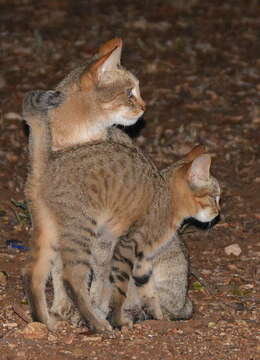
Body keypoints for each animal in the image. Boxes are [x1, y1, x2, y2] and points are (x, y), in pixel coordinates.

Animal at [23, 90, 220, 332]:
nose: (218, 212)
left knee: (33, 274)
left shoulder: (143, 260)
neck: (167, 196)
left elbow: (148, 293)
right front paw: (117, 318)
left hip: (49, 231)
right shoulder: (127, 246)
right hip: (81, 231)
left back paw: (44, 321)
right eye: (215, 196)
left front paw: (156, 316)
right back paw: (96, 322)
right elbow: (119, 290)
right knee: (72, 279)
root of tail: (49, 162)